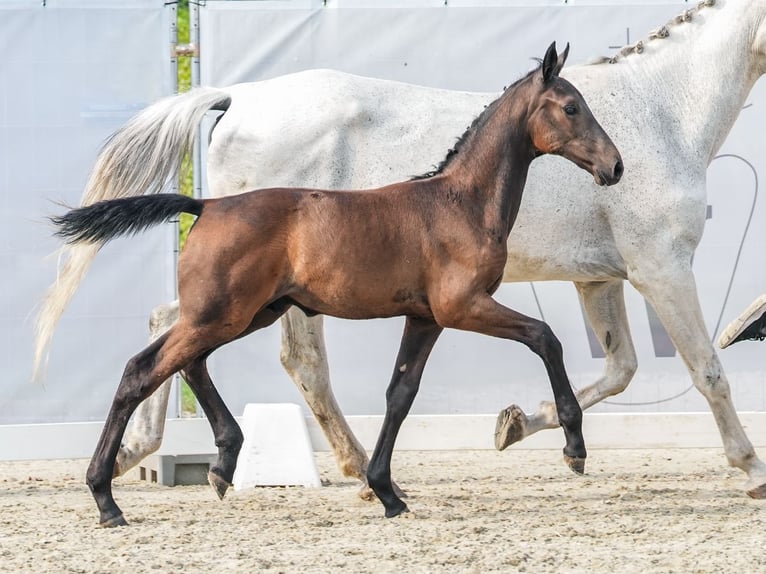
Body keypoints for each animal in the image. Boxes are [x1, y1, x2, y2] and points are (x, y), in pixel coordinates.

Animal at [49, 42, 624, 528]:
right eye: (571, 107)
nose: (615, 166)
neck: (460, 203)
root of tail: (206, 204)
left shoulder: (425, 317)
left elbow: (400, 394)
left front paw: (386, 492)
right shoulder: (462, 306)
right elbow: (545, 338)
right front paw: (574, 448)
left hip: (247, 314)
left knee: (188, 365)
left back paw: (221, 464)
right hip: (221, 315)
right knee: (141, 371)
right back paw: (107, 498)